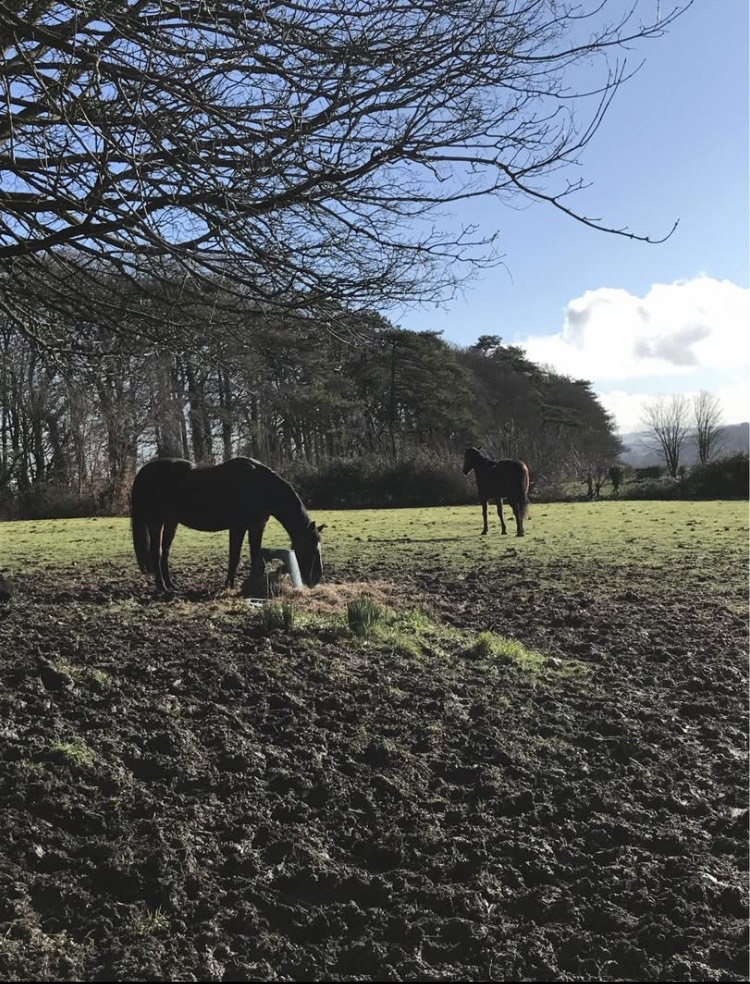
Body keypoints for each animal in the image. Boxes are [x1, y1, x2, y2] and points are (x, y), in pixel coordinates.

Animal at [130, 456, 325, 596]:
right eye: (308, 546)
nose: (315, 579)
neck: (260, 486)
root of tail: (143, 471)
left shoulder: (257, 526)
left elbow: (256, 556)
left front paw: (253, 584)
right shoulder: (238, 527)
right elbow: (234, 557)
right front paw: (229, 585)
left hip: (171, 522)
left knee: (165, 553)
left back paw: (171, 585)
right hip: (156, 522)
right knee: (156, 553)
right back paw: (162, 587)